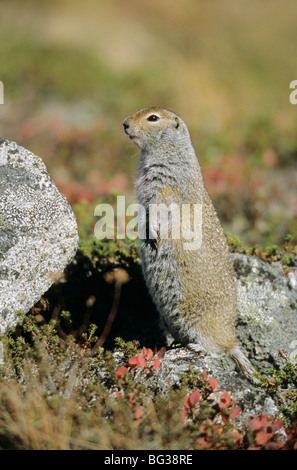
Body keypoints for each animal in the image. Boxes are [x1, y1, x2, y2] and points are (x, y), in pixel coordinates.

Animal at [122, 107, 254, 382]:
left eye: (153, 118)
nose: (125, 124)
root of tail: (232, 338)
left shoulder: (167, 188)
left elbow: (160, 210)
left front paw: (155, 233)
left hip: (205, 327)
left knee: (220, 351)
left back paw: (198, 347)